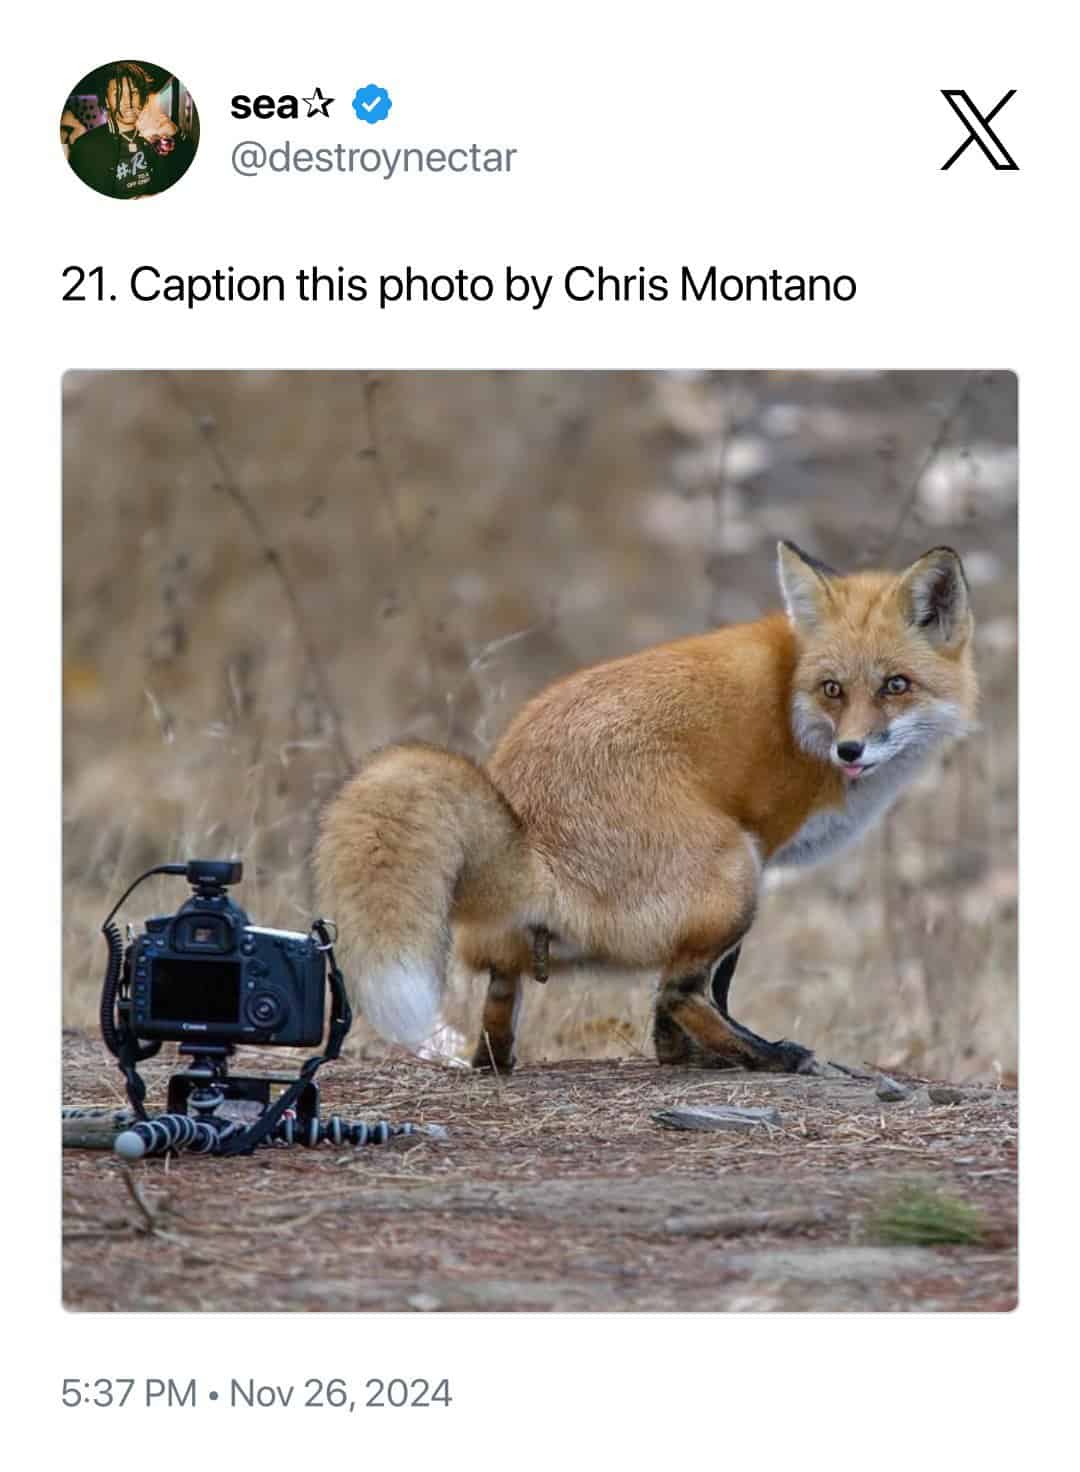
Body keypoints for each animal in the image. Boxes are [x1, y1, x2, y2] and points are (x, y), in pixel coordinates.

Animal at [315, 541, 977, 1074]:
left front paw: (678, 1053)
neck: (795, 706)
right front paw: (704, 1051)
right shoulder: (763, 844)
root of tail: (531, 844)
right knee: (677, 991)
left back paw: (501, 1059)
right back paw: (770, 1056)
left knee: (502, 1007)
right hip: (733, 872)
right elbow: (715, 983)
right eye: (833, 689)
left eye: (896, 685)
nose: (851, 749)